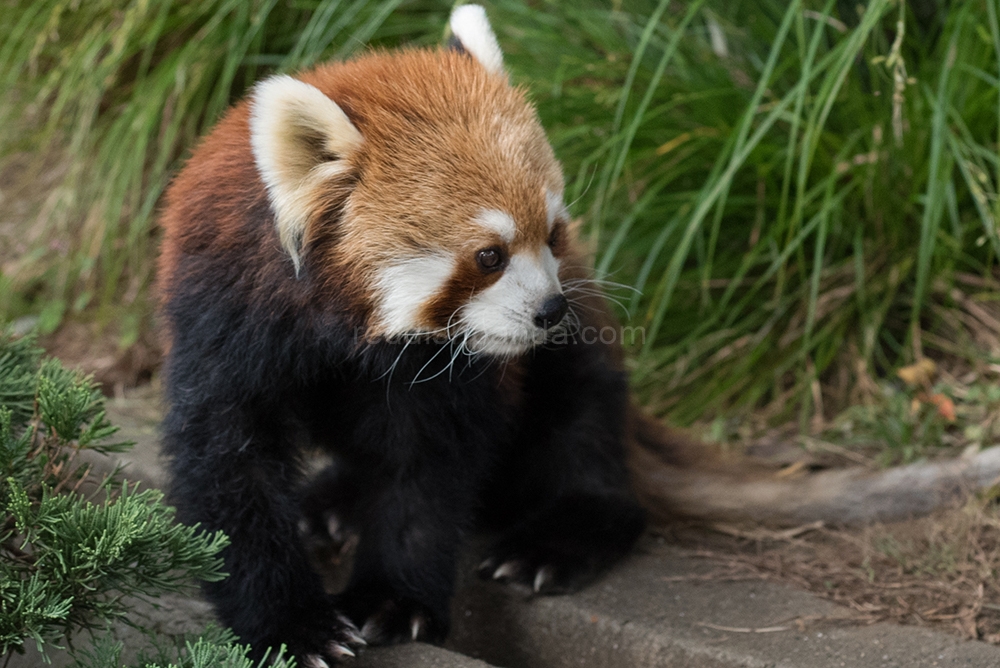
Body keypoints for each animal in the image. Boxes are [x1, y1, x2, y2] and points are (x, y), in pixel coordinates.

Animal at [153, 6, 644, 668]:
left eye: (552, 234)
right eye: (489, 256)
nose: (550, 310)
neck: (346, 324)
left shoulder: (443, 372)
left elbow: (425, 467)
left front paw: (392, 601)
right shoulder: (223, 317)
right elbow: (228, 465)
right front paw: (292, 627)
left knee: (582, 416)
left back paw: (558, 537)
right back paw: (331, 501)